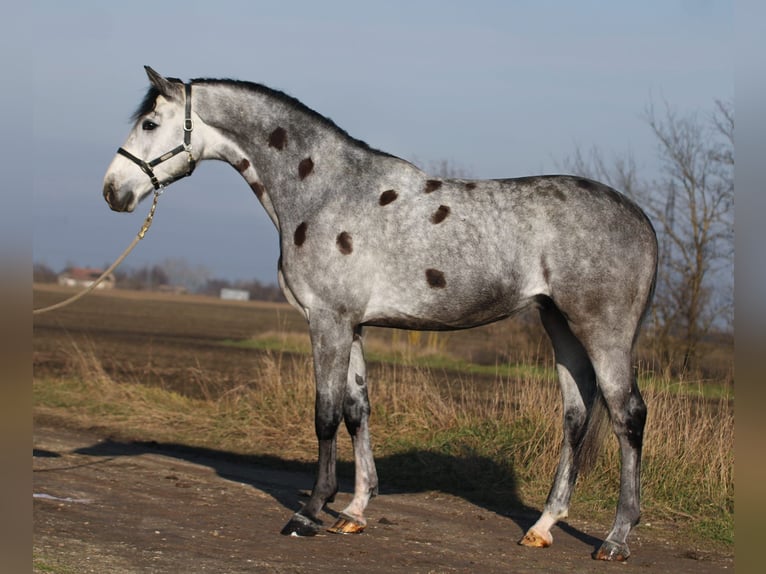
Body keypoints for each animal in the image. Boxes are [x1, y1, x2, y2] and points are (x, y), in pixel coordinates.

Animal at [103, 68, 660, 564]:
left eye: (150, 123)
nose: (113, 191)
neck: (325, 191)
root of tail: (641, 219)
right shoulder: (352, 326)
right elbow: (357, 411)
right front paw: (353, 511)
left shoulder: (327, 321)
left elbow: (325, 415)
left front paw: (309, 511)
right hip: (559, 325)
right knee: (576, 414)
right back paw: (543, 527)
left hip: (602, 331)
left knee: (627, 415)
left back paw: (616, 539)